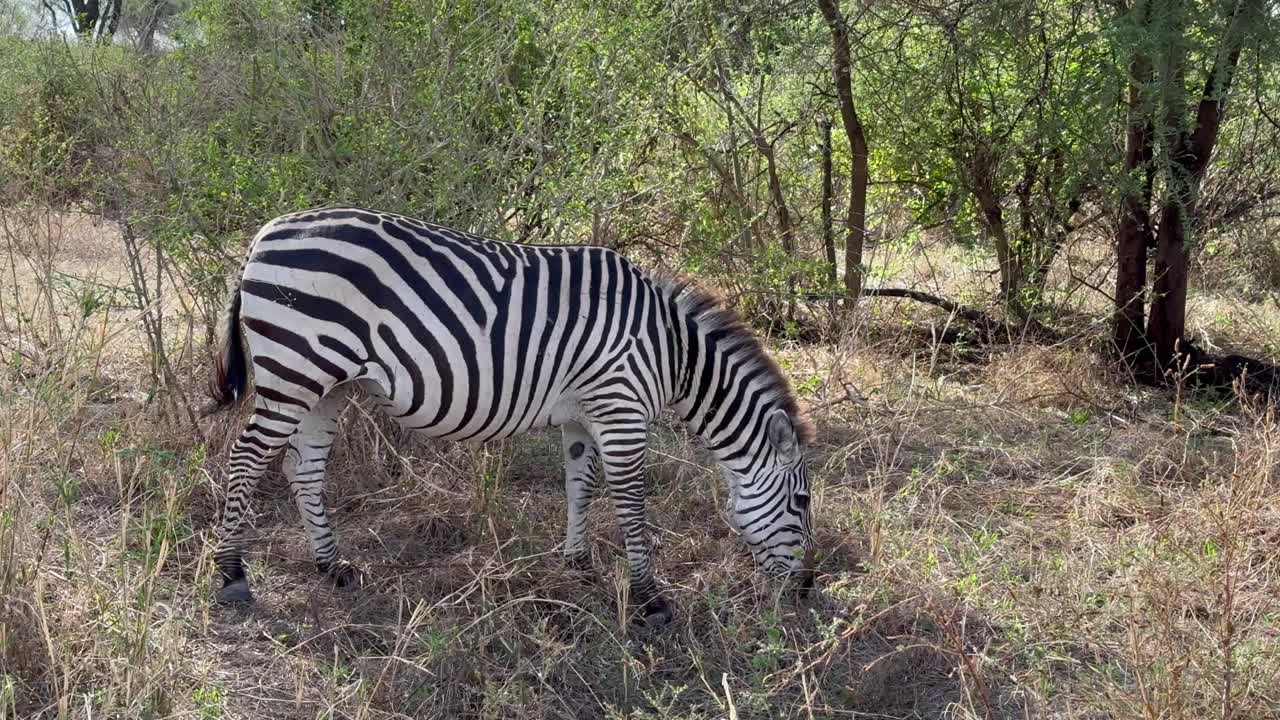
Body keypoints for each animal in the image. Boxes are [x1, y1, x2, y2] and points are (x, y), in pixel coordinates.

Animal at [206, 207, 816, 624]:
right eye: (803, 502)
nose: (807, 591)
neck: (670, 350)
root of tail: (265, 233)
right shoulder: (621, 409)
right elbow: (631, 504)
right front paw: (650, 599)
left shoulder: (583, 412)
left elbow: (579, 485)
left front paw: (578, 564)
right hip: (296, 369)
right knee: (246, 458)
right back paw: (233, 576)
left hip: (324, 384)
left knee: (303, 468)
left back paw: (333, 567)